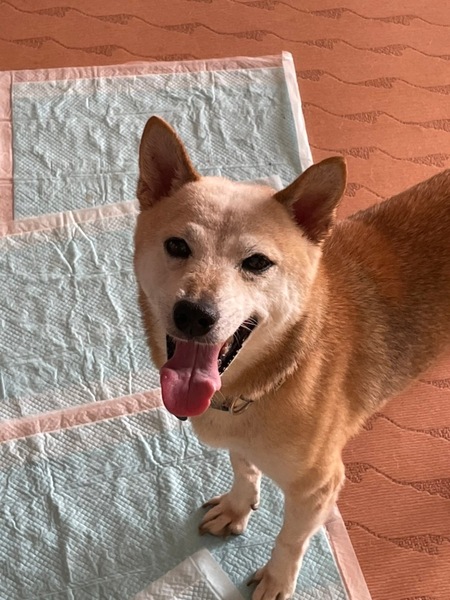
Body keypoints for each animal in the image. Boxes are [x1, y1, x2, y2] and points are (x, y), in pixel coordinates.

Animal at [133, 116, 450, 599]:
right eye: (177, 246)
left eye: (257, 262)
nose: (194, 314)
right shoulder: (241, 442)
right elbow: (243, 468)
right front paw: (238, 507)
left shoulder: (317, 487)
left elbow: (290, 538)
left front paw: (277, 579)